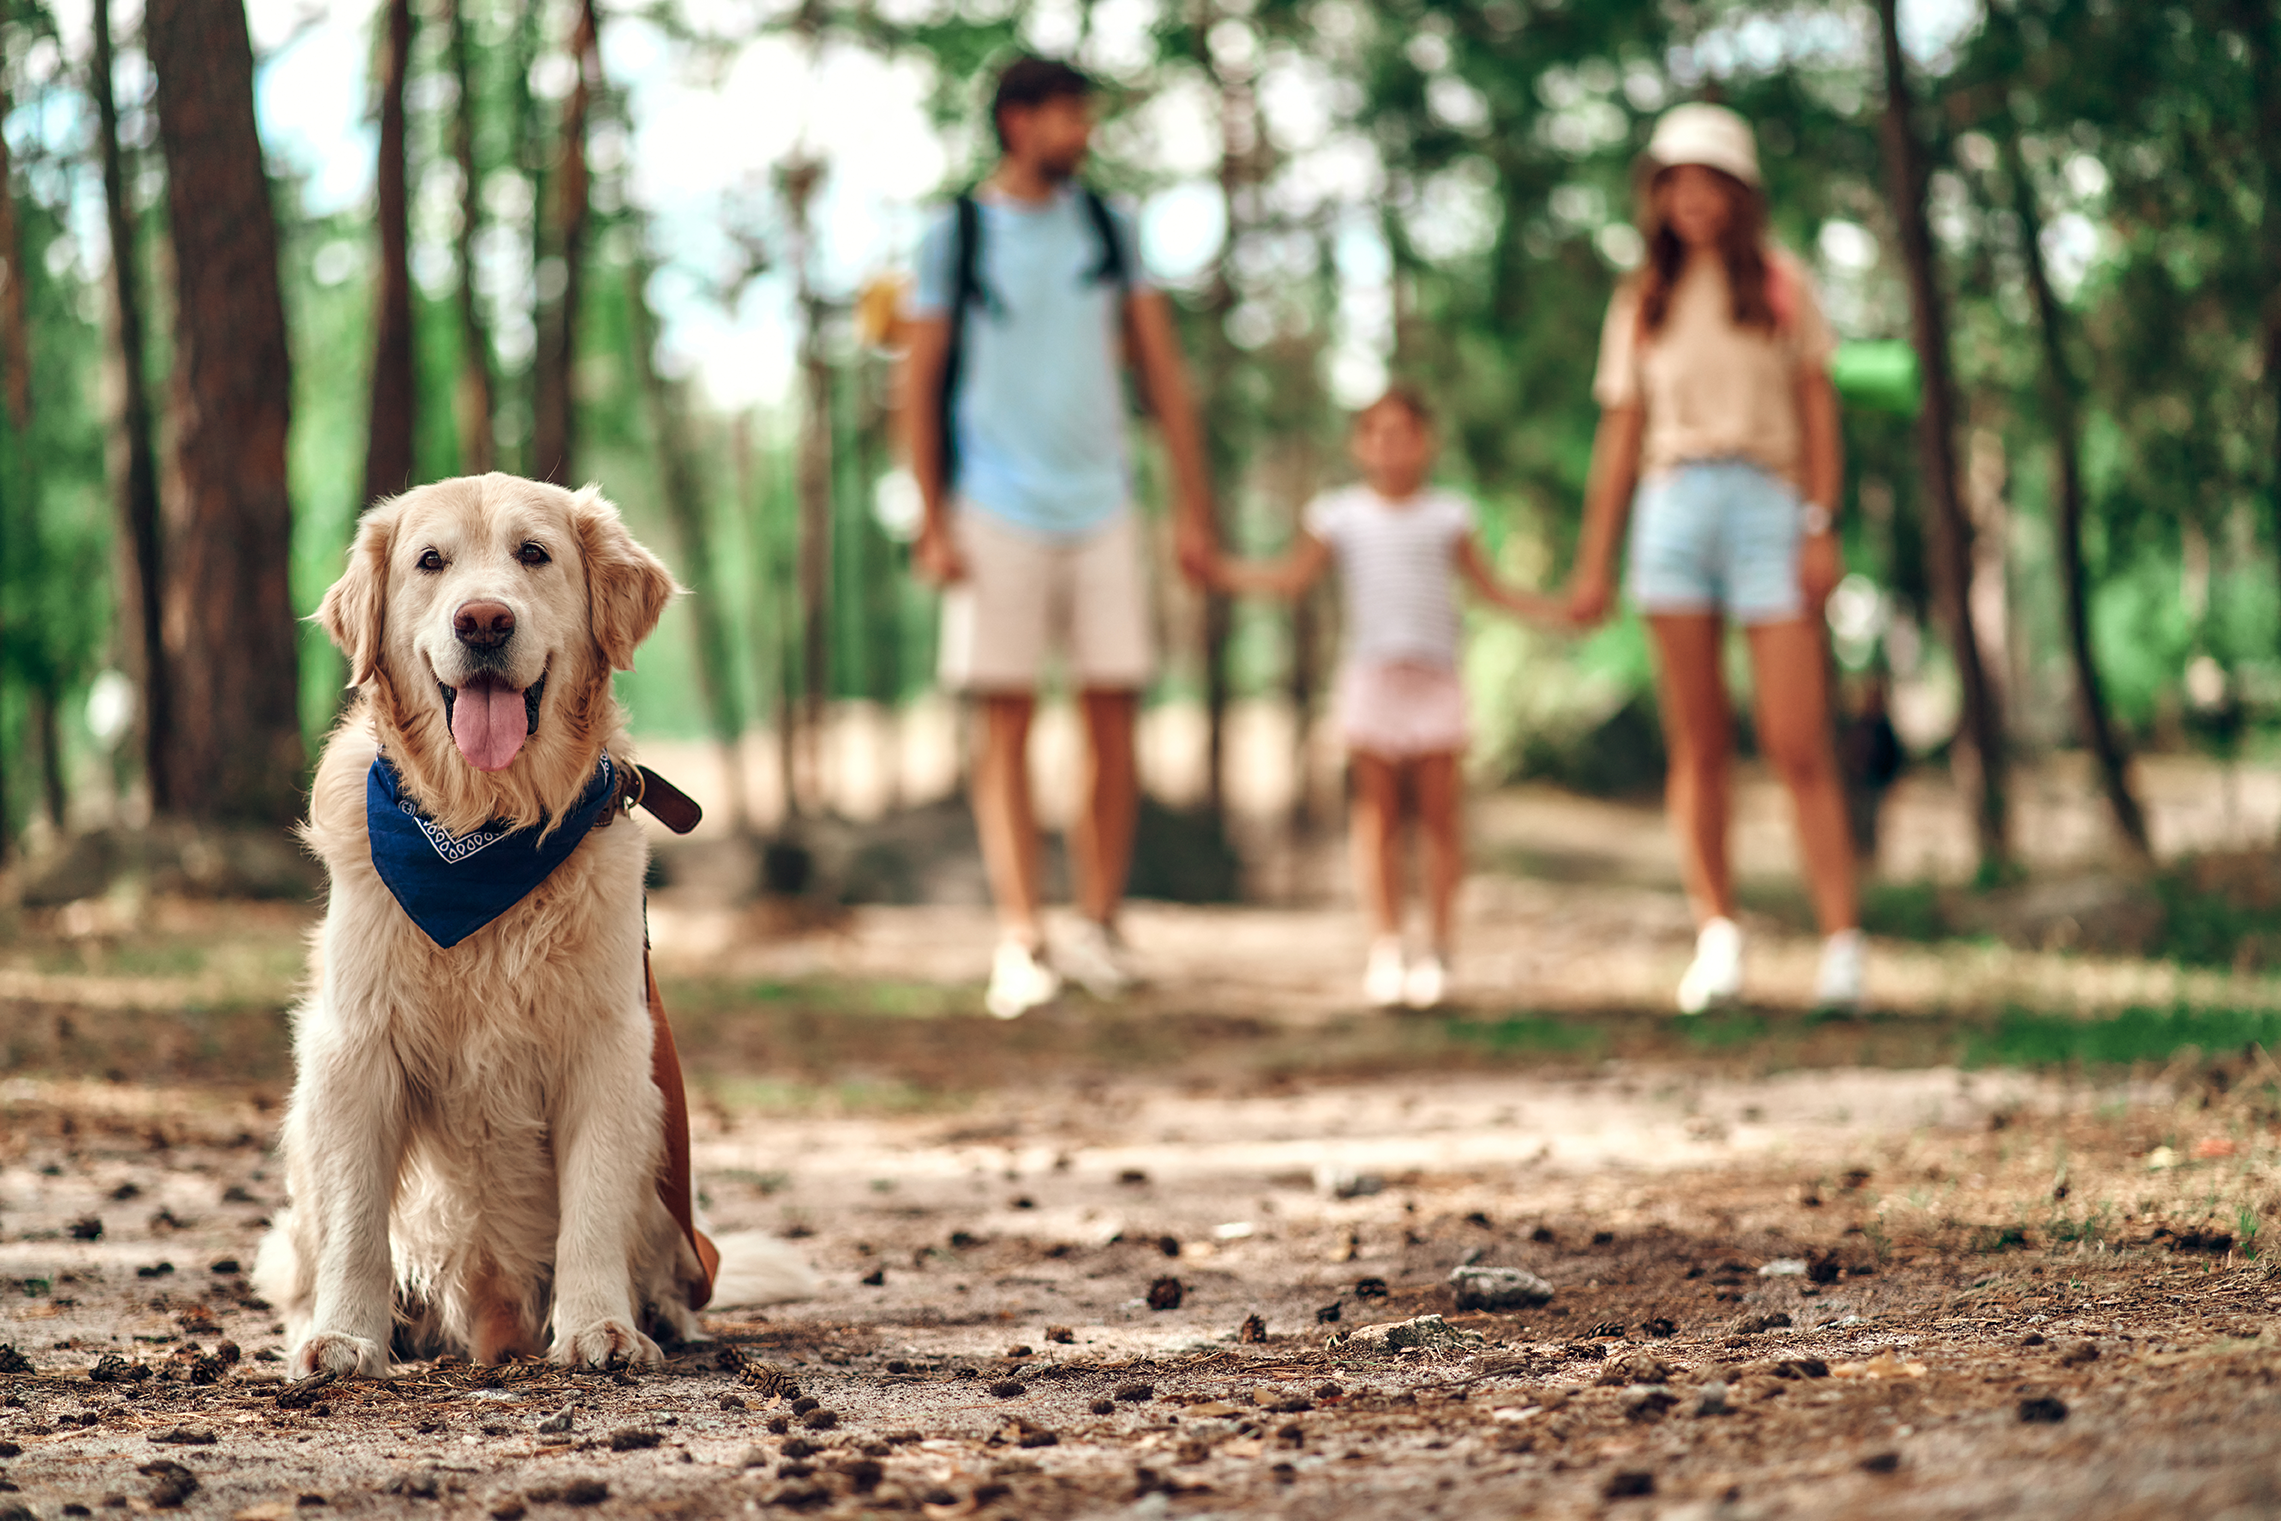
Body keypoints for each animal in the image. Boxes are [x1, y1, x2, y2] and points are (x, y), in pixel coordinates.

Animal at [256, 472, 812, 1377]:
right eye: (431, 560)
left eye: (533, 553)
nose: (483, 619)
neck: (486, 829)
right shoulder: (356, 1045)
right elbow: (355, 1220)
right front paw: (344, 1335)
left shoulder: (609, 1045)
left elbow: (592, 1203)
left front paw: (599, 1325)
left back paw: (661, 1314)